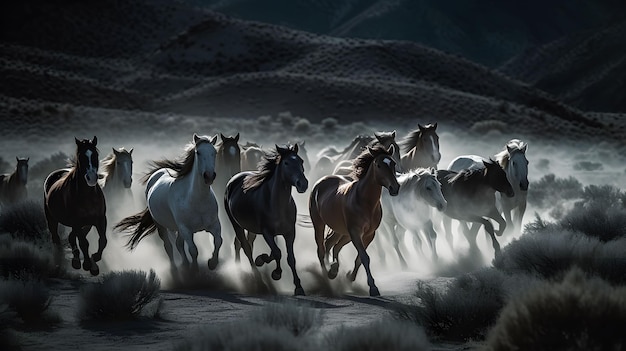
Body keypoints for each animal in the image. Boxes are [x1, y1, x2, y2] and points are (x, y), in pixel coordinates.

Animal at [45, 138, 106, 278]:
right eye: (81, 157)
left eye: (95, 155)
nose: (91, 178)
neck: (88, 196)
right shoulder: (77, 222)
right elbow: (84, 243)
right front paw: (88, 264)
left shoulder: (100, 220)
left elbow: (103, 241)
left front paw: (94, 260)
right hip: (52, 220)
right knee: (57, 239)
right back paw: (61, 263)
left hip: (86, 224)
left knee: (72, 237)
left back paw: (77, 260)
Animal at [114, 135, 222, 276]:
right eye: (198, 152)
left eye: (214, 152)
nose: (209, 176)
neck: (197, 200)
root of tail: (156, 174)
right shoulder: (186, 230)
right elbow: (193, 250)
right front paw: (195, 270)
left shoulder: (214, 225)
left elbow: (218, 241)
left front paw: (212, 263)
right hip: (162, 226)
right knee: (169, 247)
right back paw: (174, 270)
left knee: (178, 244)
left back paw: (185, 265)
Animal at [224, 144, 308, 296]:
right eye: (286, 163)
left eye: (301, 161)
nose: (302, 184)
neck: (276, 204)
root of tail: (233, 180)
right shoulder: (267, 232)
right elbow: (277, 252)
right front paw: (276, 273)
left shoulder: (289, 233)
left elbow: (289, 258)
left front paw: (298, 287)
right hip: (236, 224)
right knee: (246, 247)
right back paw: (257, 279)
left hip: (250, 228)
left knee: (245, 244)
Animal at [308, 144, 400, 296]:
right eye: (379, 165)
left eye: (393, 163)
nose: (395, 188)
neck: (364, 201)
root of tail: (321, 182)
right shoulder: (356, 232)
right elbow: (364, 257)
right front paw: (373, 287)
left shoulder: (369, 234)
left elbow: (359, 259)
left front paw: (350, 277)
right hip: (320, 225)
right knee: (321, 249)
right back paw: (327, 277)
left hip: (342, 231)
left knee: (332, 245)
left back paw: (333, 270)